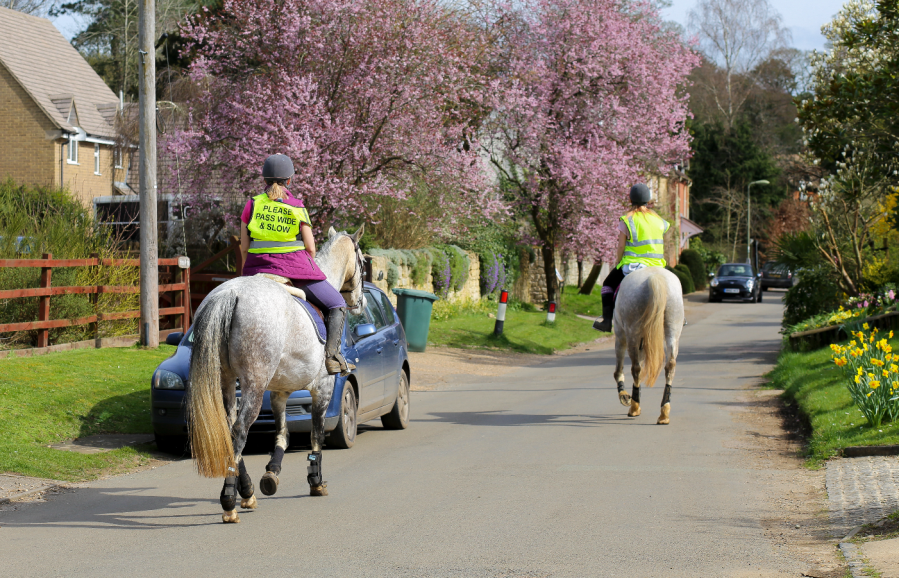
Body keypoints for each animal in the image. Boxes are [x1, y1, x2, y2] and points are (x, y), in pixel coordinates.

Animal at [186, 225, 366, 520]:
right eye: (363, 262)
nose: (360, 303)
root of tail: (230, 293)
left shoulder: (280, 392)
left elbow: (283, 434)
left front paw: (272, 473)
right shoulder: (322, 389)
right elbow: (316, 435)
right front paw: (316, 481)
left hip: (227, 380)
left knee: (230, 429)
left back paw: (246, 492)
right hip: (254, 385)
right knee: (240, 431)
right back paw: (229, 502)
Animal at [616, 266, 684, 424]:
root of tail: (655, 276)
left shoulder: (620, 334)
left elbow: (619, 369)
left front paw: (625, 396)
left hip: (632, 333)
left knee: (636, 368)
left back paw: (634, 407)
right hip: (673, 329)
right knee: (670, 366)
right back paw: (664, 413)